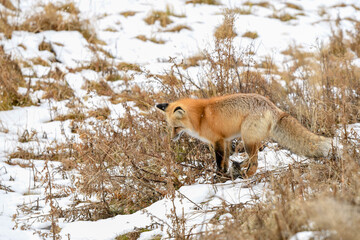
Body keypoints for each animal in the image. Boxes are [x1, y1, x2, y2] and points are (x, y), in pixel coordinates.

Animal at [155, 93, 332, 178]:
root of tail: (273, 107)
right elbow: (226, 159)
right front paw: (225, 173)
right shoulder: (226, 140)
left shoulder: (217, 141)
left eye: (176, 127)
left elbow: (219, 161)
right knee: (254, 156)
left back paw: (246, 174)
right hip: (251, 139)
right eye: (170, 127)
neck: (200, 116)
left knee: (255, 163)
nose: (172, 139)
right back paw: (239, 167)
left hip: (247, 139)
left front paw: (218, 176)